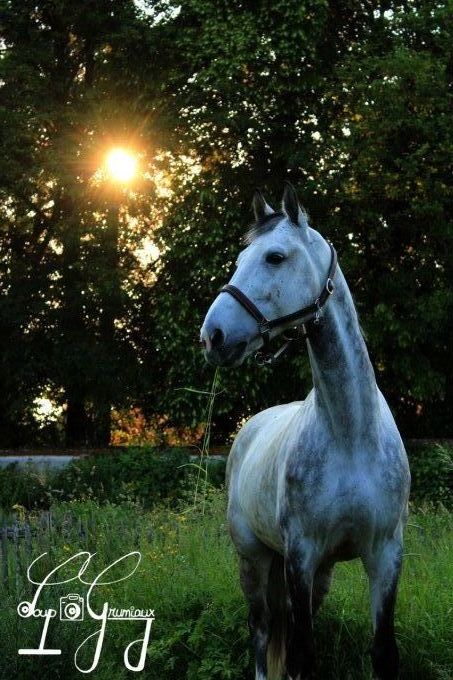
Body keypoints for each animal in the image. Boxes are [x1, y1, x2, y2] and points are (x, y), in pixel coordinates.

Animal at [200, 183, 410, 680]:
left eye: (275, 257)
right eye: (239, 259)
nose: (212, 335)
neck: (351, 434)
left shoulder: (385, 555)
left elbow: (383, 651)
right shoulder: (300, 555)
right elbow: (300, 655)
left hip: (321, 573)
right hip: (254, 558)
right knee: (261, 630)